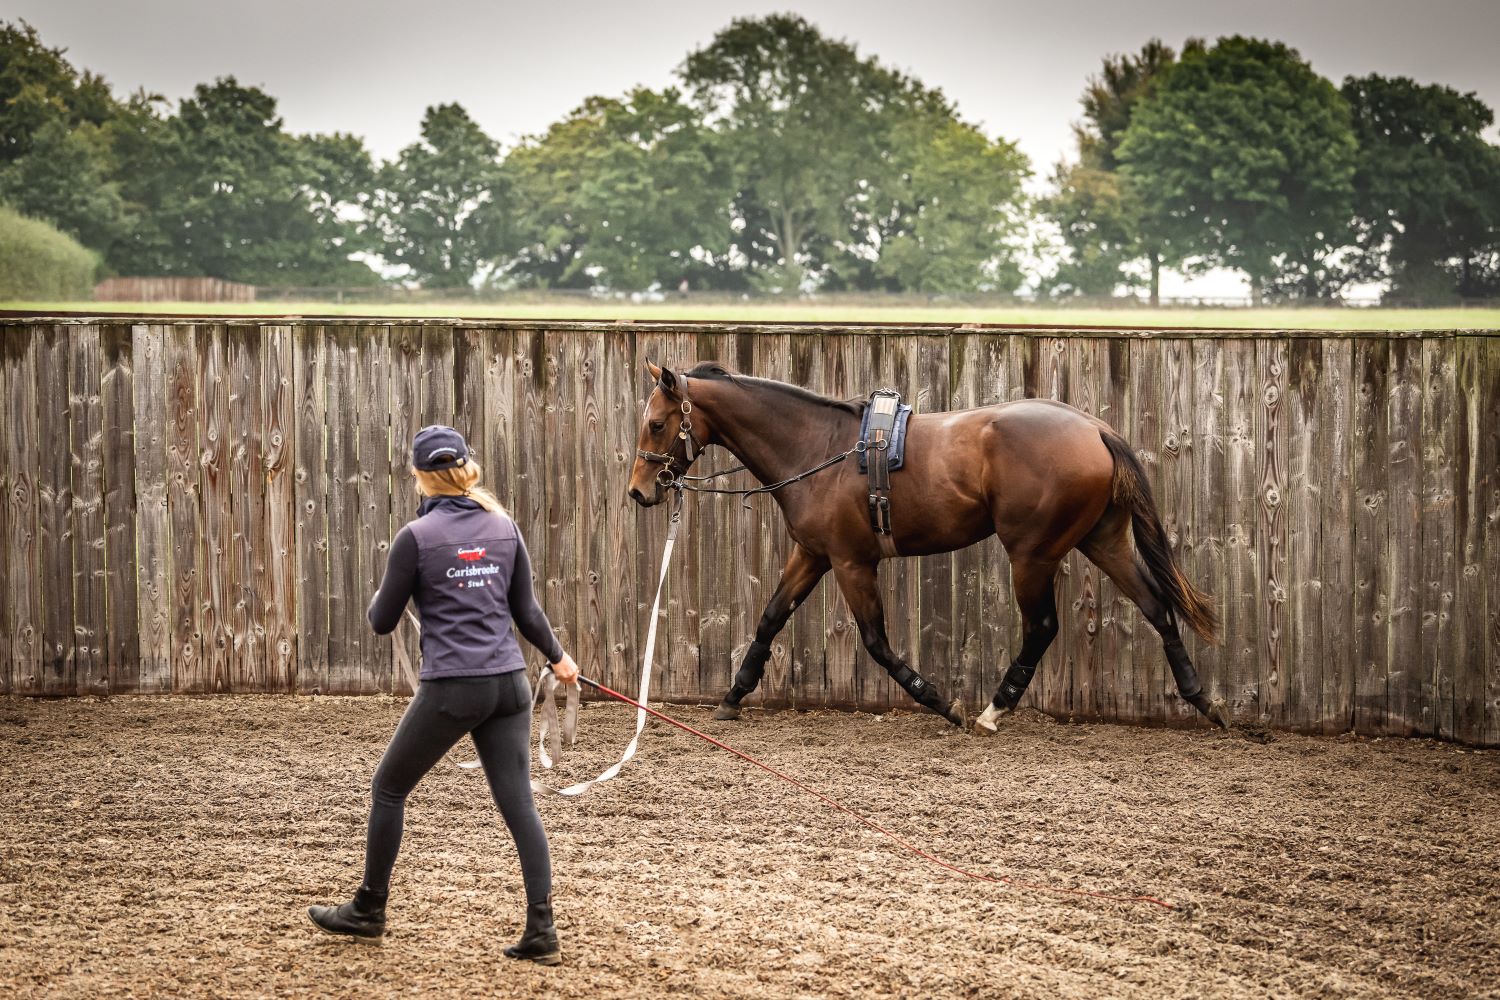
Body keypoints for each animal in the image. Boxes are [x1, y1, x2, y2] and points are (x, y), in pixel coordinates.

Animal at [627, 360, 1229, 733]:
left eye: (655, 423)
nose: (639, 490)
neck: (818, 448)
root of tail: (1093, 428)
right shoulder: (813, 555)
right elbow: (771, 618)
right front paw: (733, 696)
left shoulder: (852, 563)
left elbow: (876, 642)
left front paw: (940, 701)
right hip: (1102, 541)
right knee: (1156, 606)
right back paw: (1202, 699)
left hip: (1032, 555)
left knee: (1042, 628)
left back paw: (992, 709)